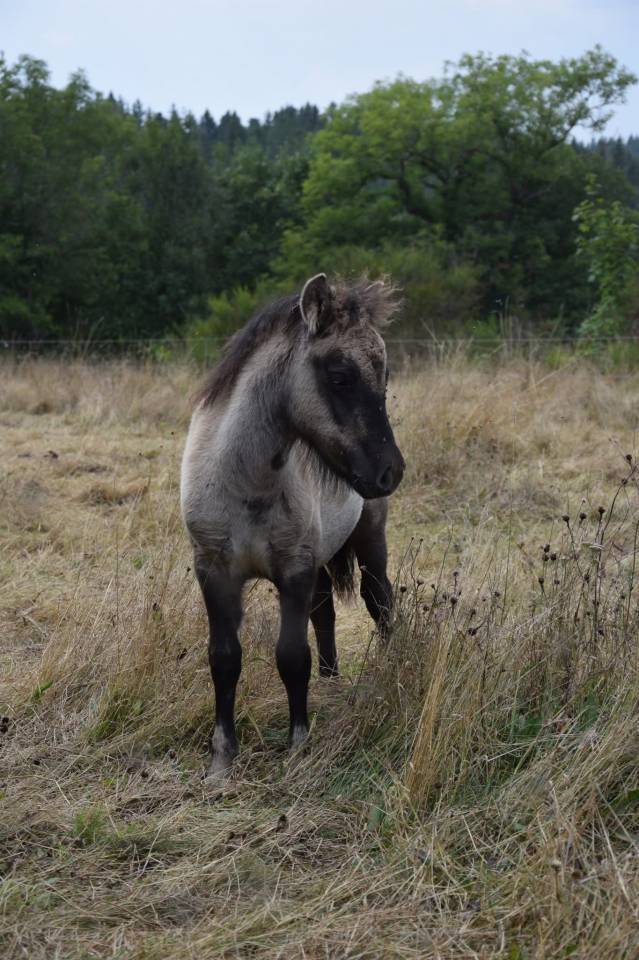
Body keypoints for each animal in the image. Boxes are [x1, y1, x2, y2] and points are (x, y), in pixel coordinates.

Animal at [180, 273, 405, 775]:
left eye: (384, 378)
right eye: (339, 376)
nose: (391, 471)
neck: (244, 481)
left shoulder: (293, 571)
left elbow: (291, 657)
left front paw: (298, 745)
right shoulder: (215, 571)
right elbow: (224, 658)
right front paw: (222, 759)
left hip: (369, 540)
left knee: (379, 601)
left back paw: (388, 668)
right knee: (324, 612)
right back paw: (331, 681)